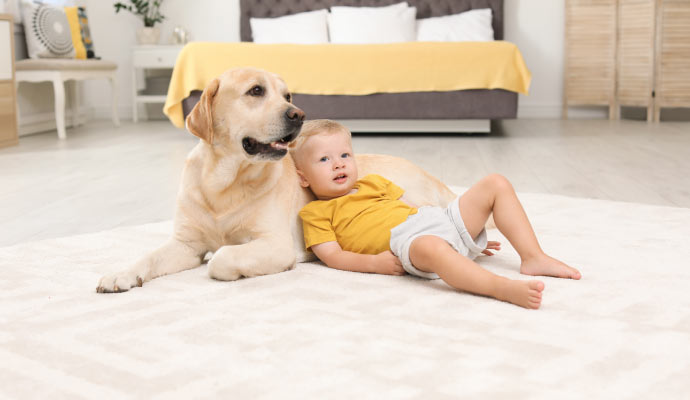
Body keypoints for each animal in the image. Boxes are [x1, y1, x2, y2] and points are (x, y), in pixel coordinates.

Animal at [95, 67, 452, 292]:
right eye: (256, 91)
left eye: (287, 95)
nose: (298, 114)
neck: (223, 184)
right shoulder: (186, 245)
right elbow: (148, 256)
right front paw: (121, 274)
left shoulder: (275, 244)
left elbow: (221, 257)